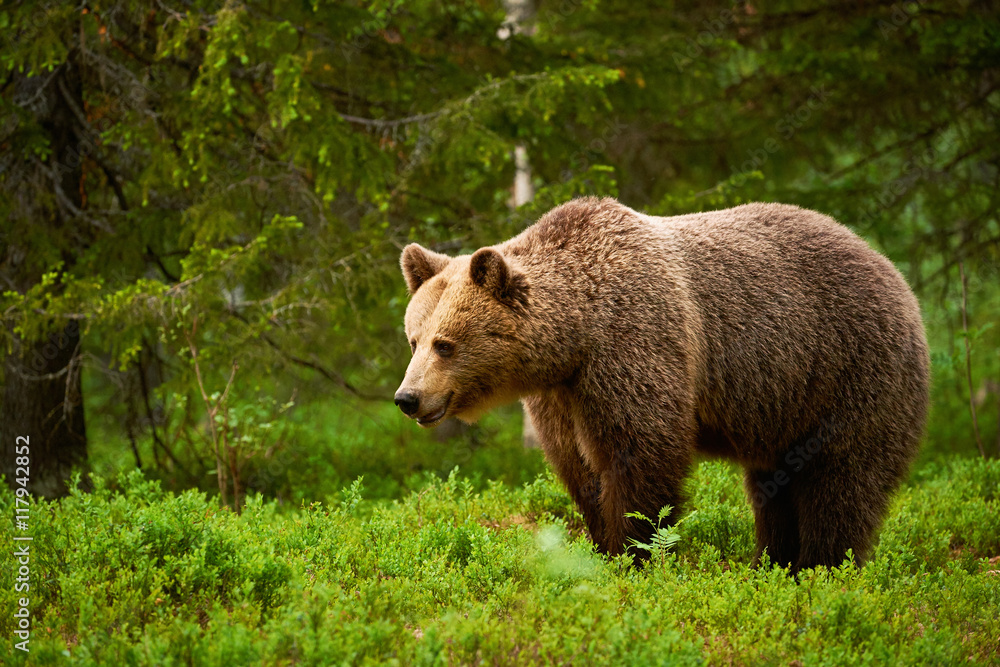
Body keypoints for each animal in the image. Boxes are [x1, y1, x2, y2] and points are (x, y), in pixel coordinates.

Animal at [394, 197, 929, 573]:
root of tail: (890, 269)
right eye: (413, 339)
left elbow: (642, 452)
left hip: (849, 371)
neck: (575, 339)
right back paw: (773, 563)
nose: (407, 398)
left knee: (842, 480)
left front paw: (634, 553)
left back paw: (822, 567)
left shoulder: (635, 342)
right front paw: (601, 545)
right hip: (783, 406)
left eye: (445, 344)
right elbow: (578, 469)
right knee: (774, 484)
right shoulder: (561, 396)